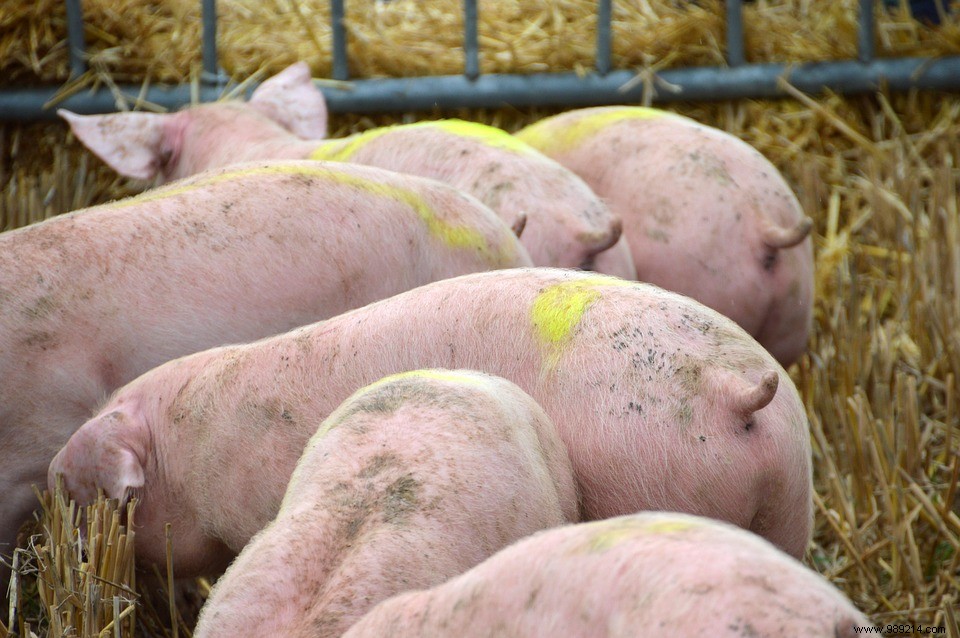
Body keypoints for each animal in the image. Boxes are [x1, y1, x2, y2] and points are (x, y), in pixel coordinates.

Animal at [49, 267, 813, 580]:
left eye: (83, 494)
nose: (52, 472)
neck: (190, 444)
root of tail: (735, 387)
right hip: (789, 502)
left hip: (651, 483)